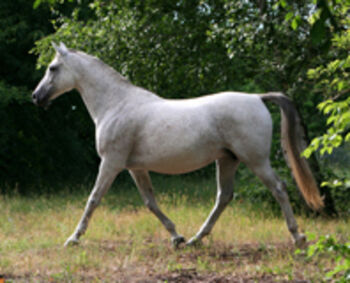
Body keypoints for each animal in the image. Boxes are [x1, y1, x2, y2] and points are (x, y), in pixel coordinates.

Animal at [32, 42, 322, 248]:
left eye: (53, 68)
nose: (36, 96)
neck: (116, 104)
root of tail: (257, 98)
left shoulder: (111, 163)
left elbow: (93, 199)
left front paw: (73, 239)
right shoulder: (135, 168)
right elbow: (150, 202)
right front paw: (176, 237)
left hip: (256, 160)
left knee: (279, 188)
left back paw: (298, 237)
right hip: (227, 160)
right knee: (224, 197)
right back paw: (195, 239)